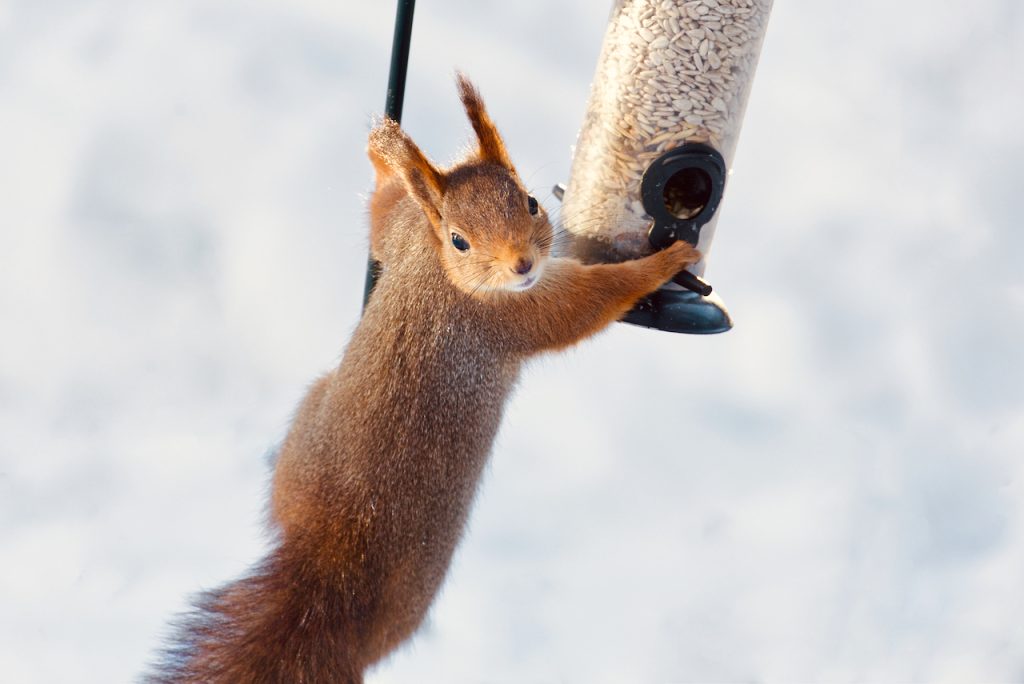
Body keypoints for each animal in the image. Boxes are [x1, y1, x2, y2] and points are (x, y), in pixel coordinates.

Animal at [151, 72, 700, 679]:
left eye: (531, 203)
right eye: (459, 238)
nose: (522, 264)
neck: (440, 268)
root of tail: (334, 554)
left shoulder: (405, 231)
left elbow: (383, 210)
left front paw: (386, 149)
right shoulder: (510, 314)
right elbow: (582, 307)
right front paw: (663, 264)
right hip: (412, 598)